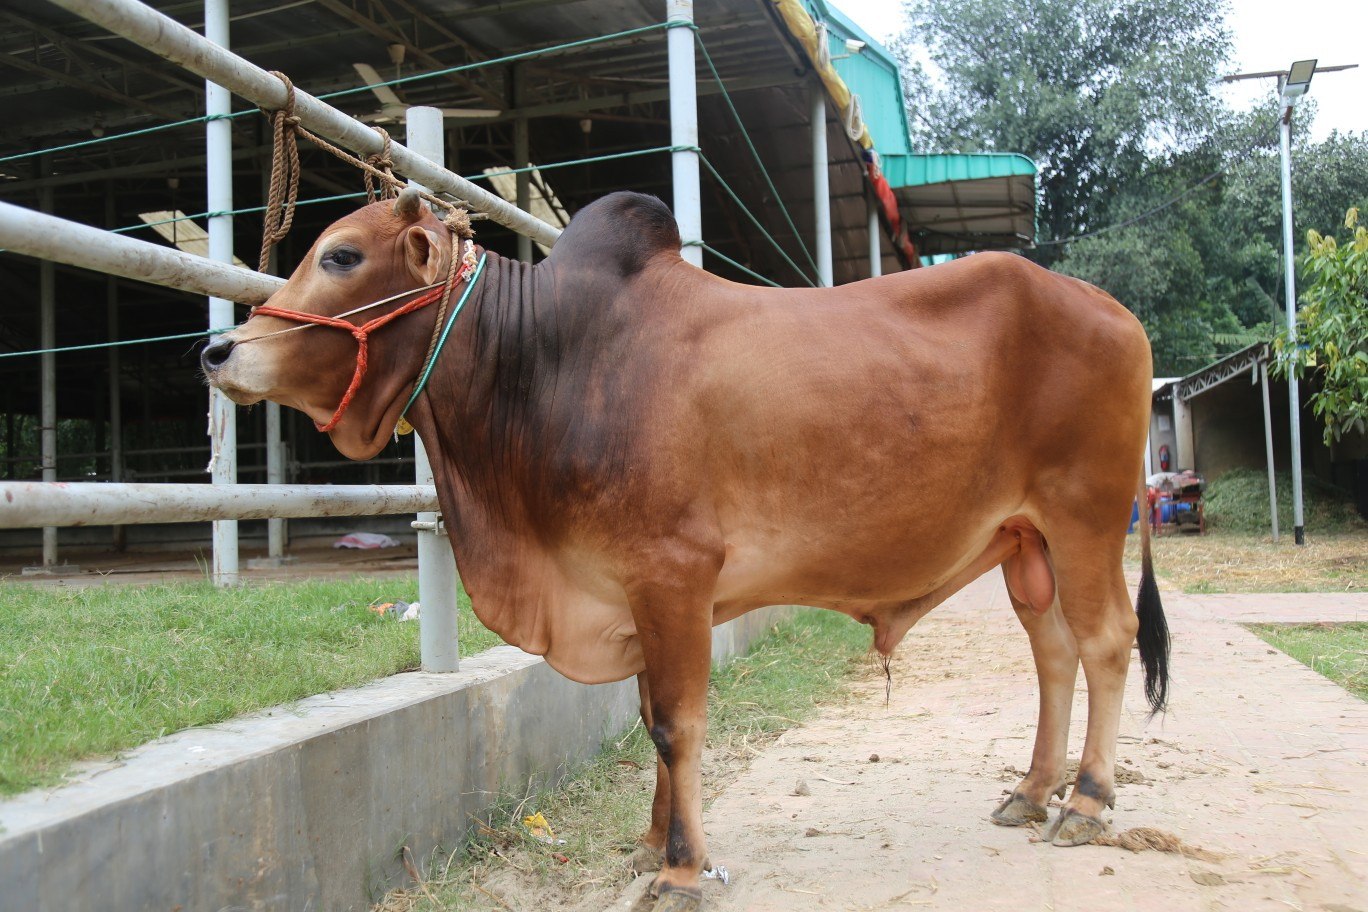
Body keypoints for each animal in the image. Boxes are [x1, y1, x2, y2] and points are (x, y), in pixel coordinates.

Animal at [202, 188, 1169, 912]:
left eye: (340, 256)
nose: (219, 351)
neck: (547, 362)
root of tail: (1115, 311)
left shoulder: (672, 576)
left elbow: (676, 724)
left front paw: (680, 869)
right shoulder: (633, 594)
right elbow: (647, 719)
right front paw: (648, 845)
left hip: (1082, 518)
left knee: (1105, 643)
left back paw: (1087, 802)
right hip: (1024, 545)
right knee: (1053, 654)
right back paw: (1031, 792)